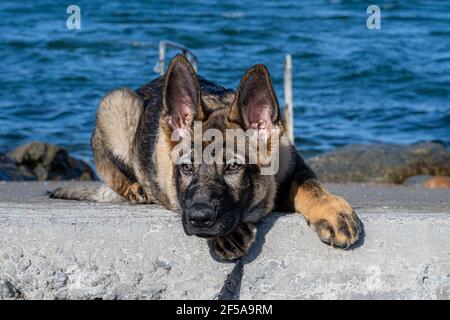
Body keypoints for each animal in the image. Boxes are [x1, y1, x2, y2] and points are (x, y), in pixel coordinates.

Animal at [51, 54, 362, 260]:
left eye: (233, 166)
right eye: (186, 167)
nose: (199, 218)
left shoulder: (293, 163)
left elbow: (310, 186)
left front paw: (333, 211)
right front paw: (228, 236)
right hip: (116, 104)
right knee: (114, 172)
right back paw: (136, 188)